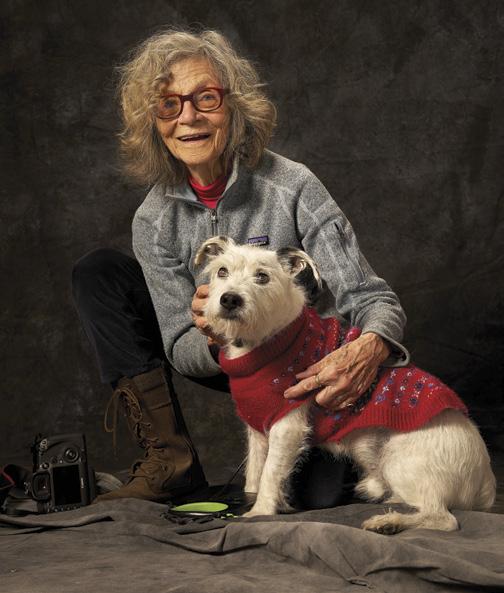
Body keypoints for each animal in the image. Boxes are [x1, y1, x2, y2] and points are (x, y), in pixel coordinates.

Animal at [194, 236, 496, 533]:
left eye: (262, 276)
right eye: (222, 271)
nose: (229, 299)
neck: (265, 341)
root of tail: (485, 483)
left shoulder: (287, 427)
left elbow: (270, 471)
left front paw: (260, 512)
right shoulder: (258, 432)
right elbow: (254, 474)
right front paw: (254, 500)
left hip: (400, 460)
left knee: (443, 519)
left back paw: (388, 522)